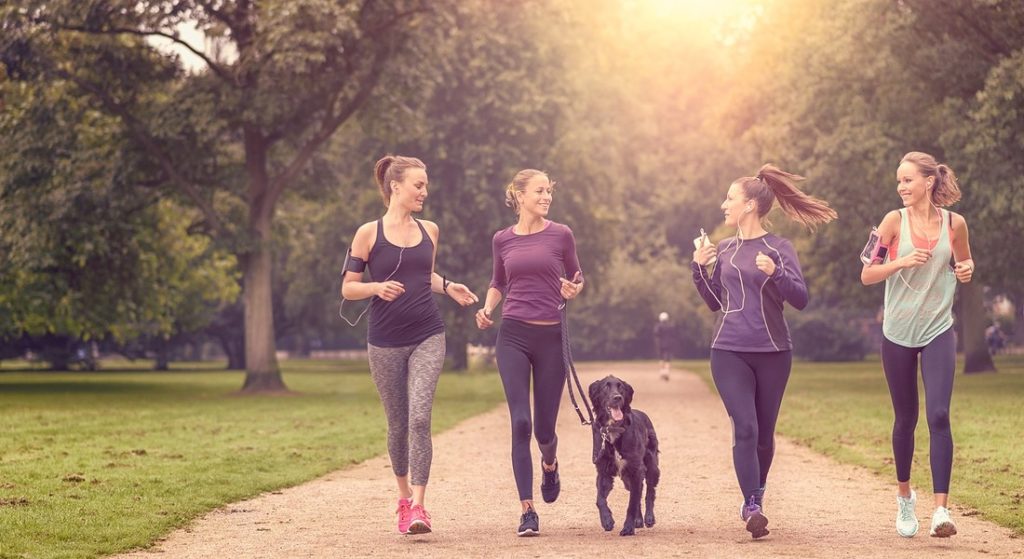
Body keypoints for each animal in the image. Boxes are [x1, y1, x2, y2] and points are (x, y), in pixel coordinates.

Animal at [589, 372, 659, 532]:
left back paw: (648, 518)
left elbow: (632, 503)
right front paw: (607, 520)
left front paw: (627, 528)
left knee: (649, 492)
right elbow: (599, 499)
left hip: (651, 466)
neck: (614, 429)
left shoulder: (636, 468)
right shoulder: (603, 470)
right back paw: (638, 520)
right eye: (605, 387)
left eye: (620, 387)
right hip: (627, 477)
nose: (617, 397)